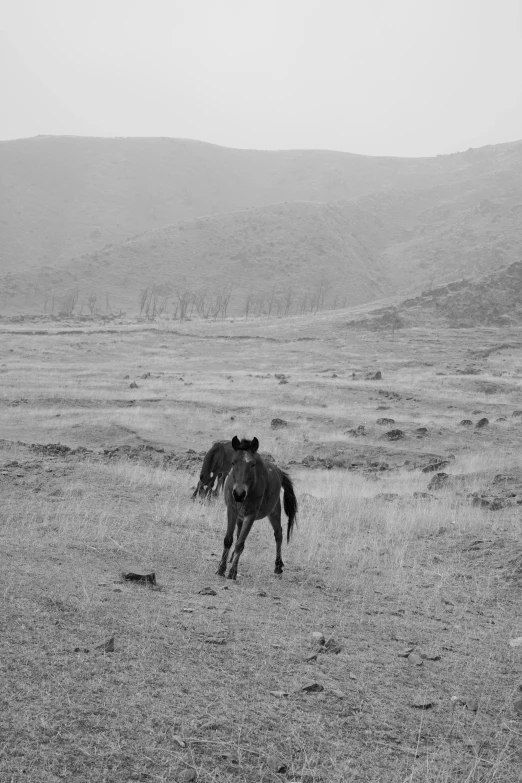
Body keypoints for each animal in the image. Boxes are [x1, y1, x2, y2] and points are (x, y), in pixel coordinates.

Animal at [215, 434, 296, 580]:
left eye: (252, 464)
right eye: (233, 462)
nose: (239, 494)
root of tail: (279, 472)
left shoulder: (251, 515)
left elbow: (240, 543)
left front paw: (232, 572)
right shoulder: (232, 511)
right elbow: (228, 539)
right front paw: (221, 569)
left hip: (274, 512)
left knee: (278, 534)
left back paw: (278, 566)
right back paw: (231, 558)